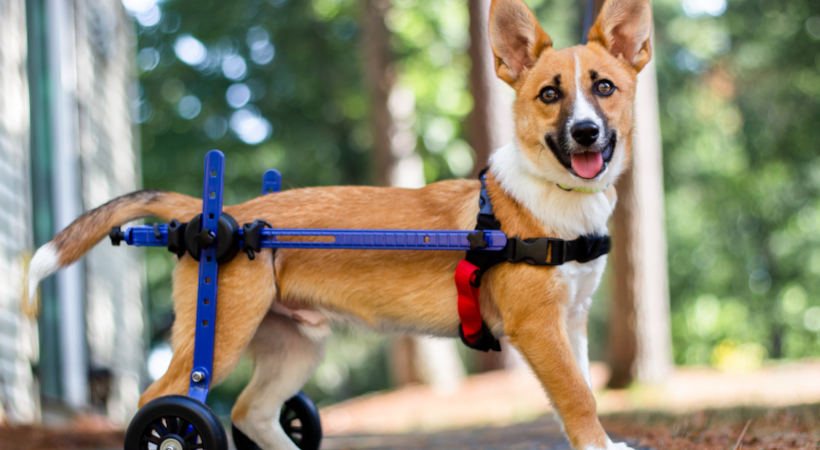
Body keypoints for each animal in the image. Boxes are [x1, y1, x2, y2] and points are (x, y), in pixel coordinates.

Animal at [27, 0, 652, 446]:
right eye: (549, 94)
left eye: (604, 88)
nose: (586, 134)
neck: (554, 196)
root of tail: (209, 216)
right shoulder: (539, 328)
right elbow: (578, 398)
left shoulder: (571, 322)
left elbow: (583, 389)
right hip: (221, 334)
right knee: (162, 403)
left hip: (293, 345)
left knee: (252, 412)